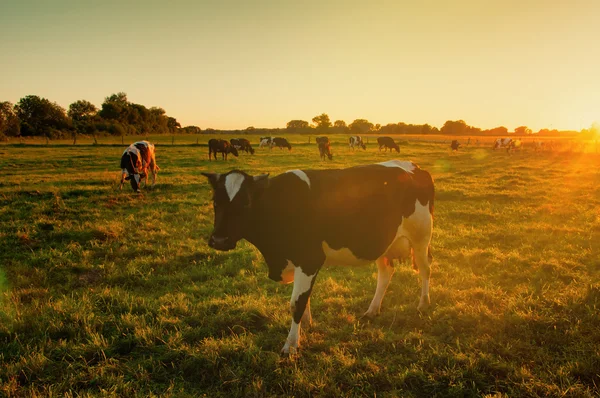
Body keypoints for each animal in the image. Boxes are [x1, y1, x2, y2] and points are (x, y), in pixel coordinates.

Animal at [204, 160, 434, 352]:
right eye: (215, 202)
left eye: (245, 202)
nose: (219, 240)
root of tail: (414, 166)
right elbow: (303, 300)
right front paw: (306, 325)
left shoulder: (309, 260)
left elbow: (296, 303)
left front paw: (291, 345)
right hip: (383, 243)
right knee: (386, 273)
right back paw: (372, 309)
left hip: (421, 237)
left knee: (425, 270)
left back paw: (423, 304)